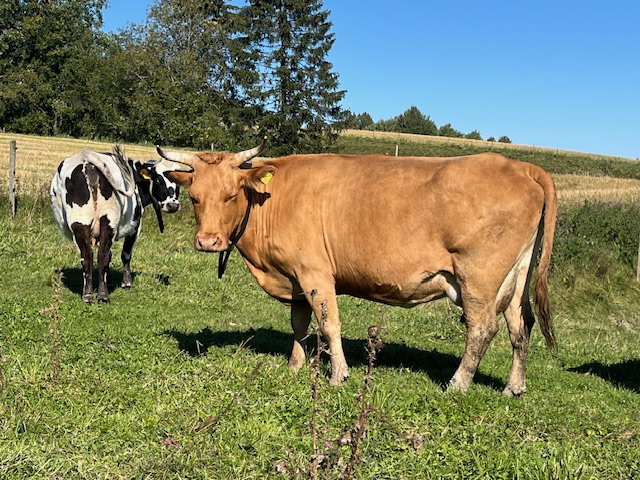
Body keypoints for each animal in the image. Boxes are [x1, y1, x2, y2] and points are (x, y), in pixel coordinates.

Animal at [50, 146, 190, 303]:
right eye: (158, 180)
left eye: (178, 182)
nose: (173, 205)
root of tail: (87, 162)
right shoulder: (135, 227)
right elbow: (125, 254)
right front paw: (126, 283)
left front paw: (109, 280)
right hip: (108, 221)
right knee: (102, 256)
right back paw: (103, 295)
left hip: (79, 223)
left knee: (87, 256)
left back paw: (88, 295)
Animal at [157, 139, 557, 396]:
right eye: (194, 197)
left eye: (230, 195)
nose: (208, 241)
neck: (270, 200)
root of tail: (520, 165)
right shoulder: (295, 278)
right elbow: (300, 325)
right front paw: (295, 365)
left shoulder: (315, 274)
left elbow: (328, 323)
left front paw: (338, 374)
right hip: (515, 278)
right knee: (520, 327)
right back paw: (514, 387)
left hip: (479, 278)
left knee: (482, 329)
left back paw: (457, 384)